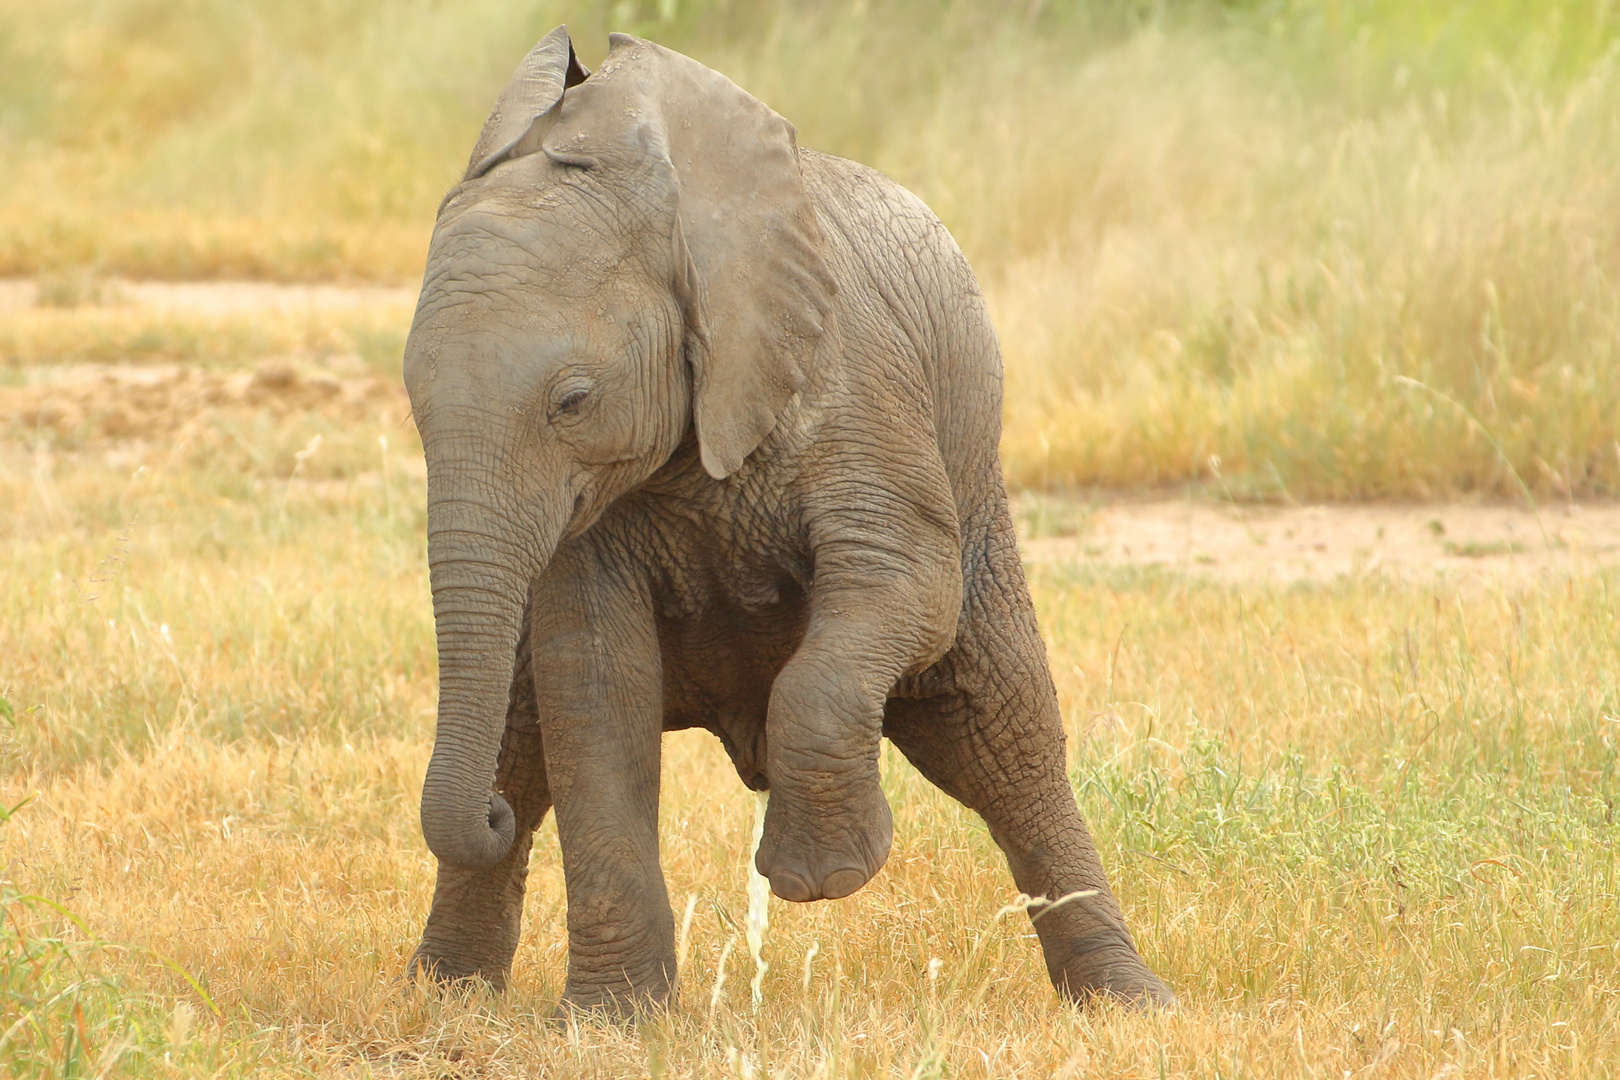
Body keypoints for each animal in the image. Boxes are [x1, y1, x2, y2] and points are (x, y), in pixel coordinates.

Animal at [400, 29, 1172, 1016]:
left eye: (572, 401)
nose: (487, 822)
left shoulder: (853, 378)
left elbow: (902, 584)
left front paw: (819, 877)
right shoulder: (589, 513)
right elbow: (593, 686)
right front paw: (614, 1021)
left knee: (1007, 744)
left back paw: (1128, 1004)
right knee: (521, 742)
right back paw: (441, 997)